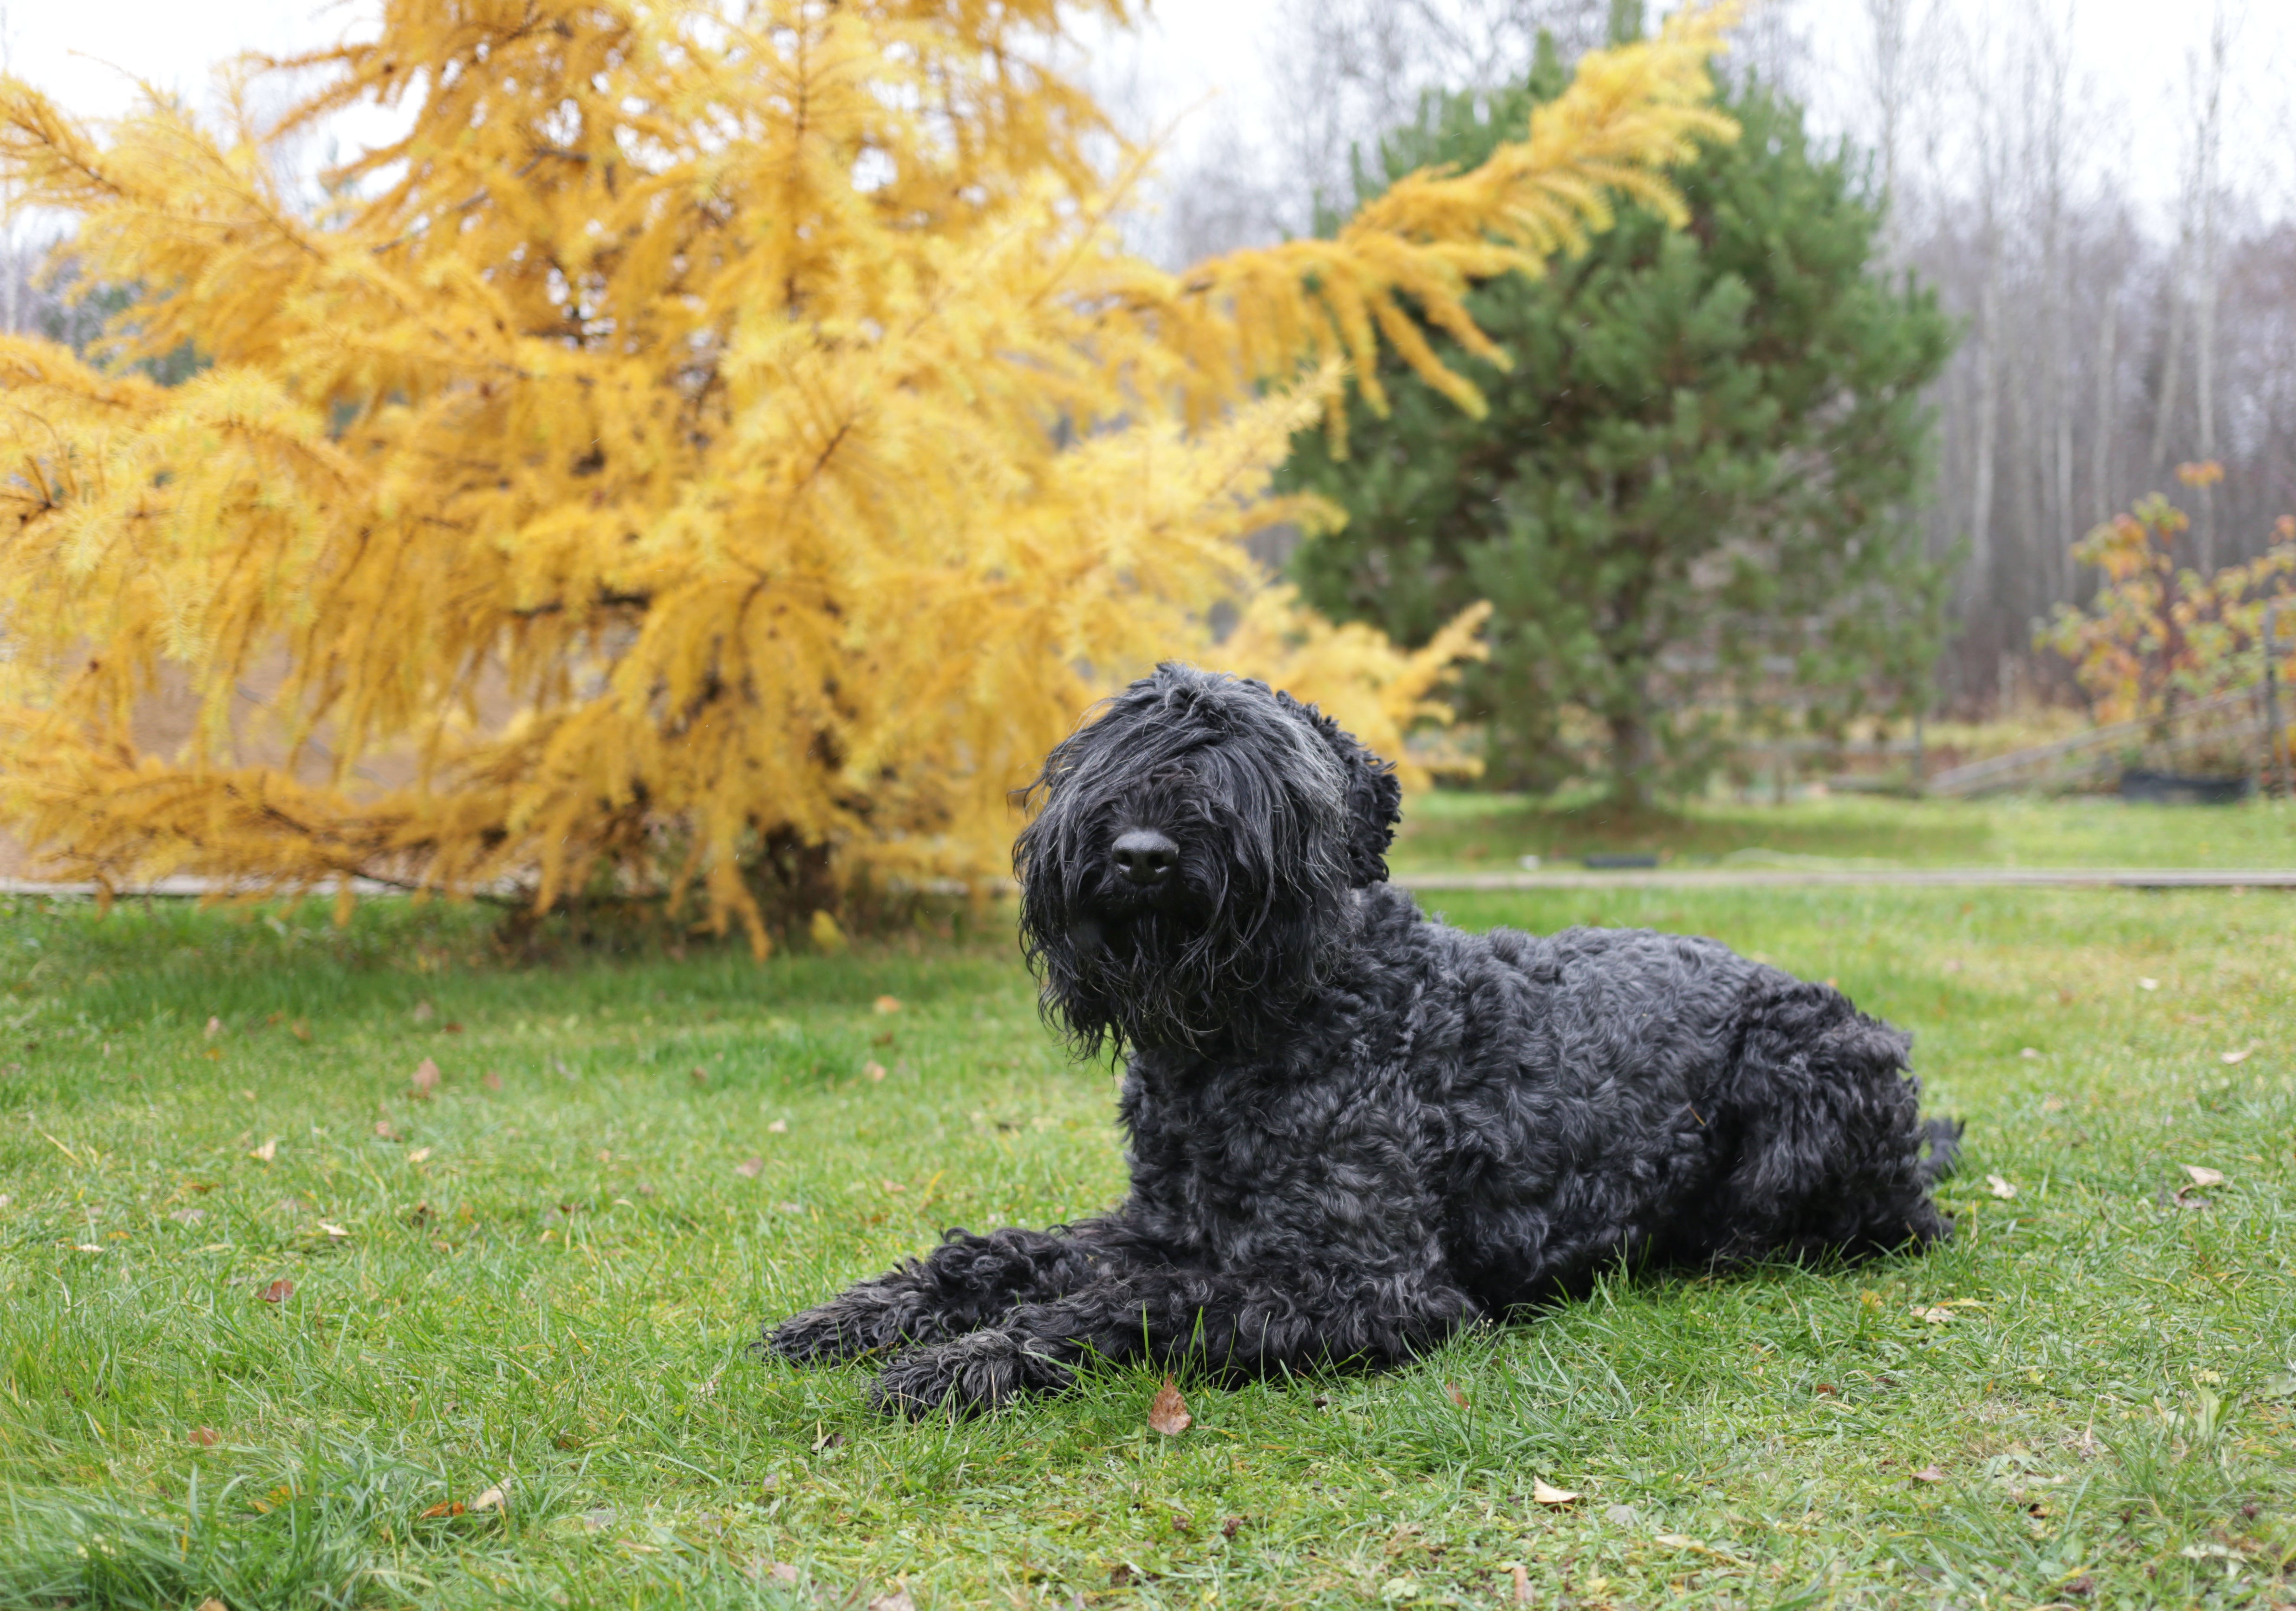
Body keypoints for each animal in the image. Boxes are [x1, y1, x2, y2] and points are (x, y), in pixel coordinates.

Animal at [767, 661, 1956, 1415]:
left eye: (1255, 766)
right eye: (1112, 751)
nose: (1143, 852)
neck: (1241, 1041)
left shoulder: (1371, 1287)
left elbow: (1124, 1305)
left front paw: (973, 1358)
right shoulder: (1164, 1225)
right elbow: (1001, 1253)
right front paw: (870, 1313)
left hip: (1807, 1080)